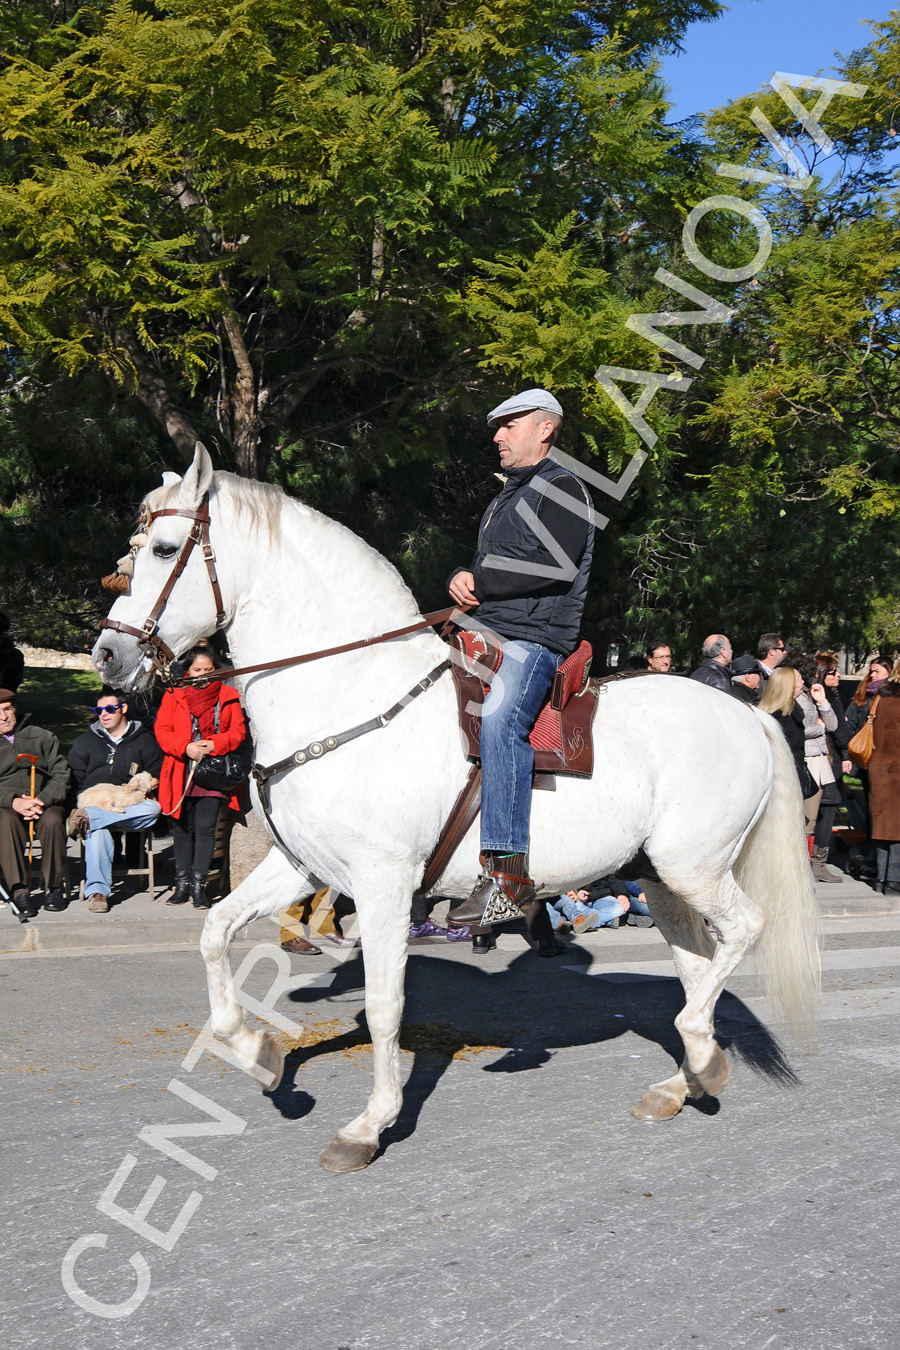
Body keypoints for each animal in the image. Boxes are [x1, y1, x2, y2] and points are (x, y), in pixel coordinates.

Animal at [95, 442, 820, 1171]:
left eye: (163, 549)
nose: (107, 653)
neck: (349, 693)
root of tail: (747, 714)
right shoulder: (303, 866)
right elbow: (215, 931)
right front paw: (259, 1055)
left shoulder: (382, 884)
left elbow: (385, 1006)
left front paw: (369, 1125)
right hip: (661, 878)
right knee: (698, 963)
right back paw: (687, 1077)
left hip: (692, 866)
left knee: (744, 932)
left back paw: (697, 1048)